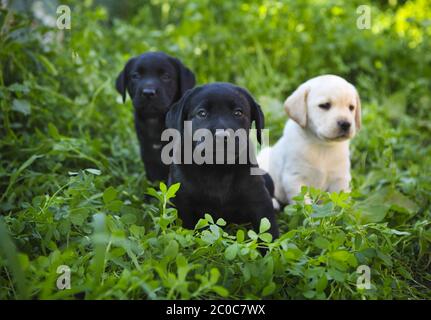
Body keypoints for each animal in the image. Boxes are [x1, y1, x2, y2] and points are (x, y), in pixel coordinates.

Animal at [165, 82, 280, 240]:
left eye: (238, 113)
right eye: (202, 113)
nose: (221, 136)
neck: (217, 168)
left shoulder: (259, 198)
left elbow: (269, 230)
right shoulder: (181, 201)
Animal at [258, 74, 362, 204]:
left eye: (351, 107)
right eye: (325, 105)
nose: (346, 124)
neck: (322, 145)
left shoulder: (341, 178)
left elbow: (341, 202)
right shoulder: (294, 178)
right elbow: (304, 203)